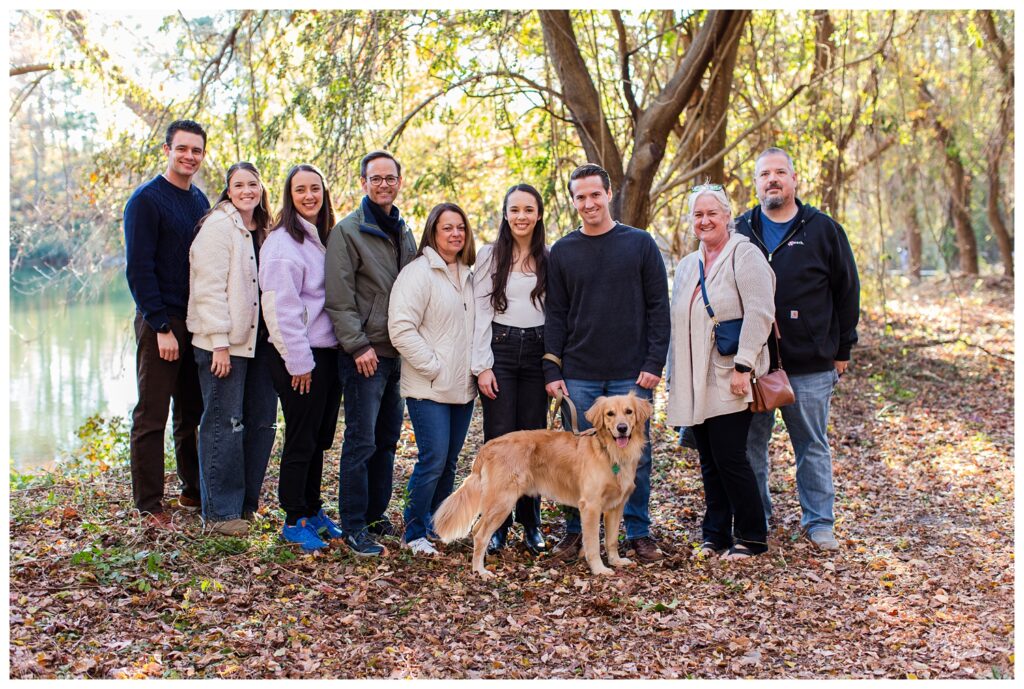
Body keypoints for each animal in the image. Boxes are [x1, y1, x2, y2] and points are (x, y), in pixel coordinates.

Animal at [436, 393, 651, 573]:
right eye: (610, 414)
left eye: (629, 412)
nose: (622, 428)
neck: (610, 452)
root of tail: (488, 446)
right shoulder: (591, 506)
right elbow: (593, 544)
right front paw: (599, 569)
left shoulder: (615, 506)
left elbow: (611, 540)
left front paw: (616, 561)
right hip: (502, 502)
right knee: (480, 534)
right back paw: (480, 571)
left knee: (477, 530)